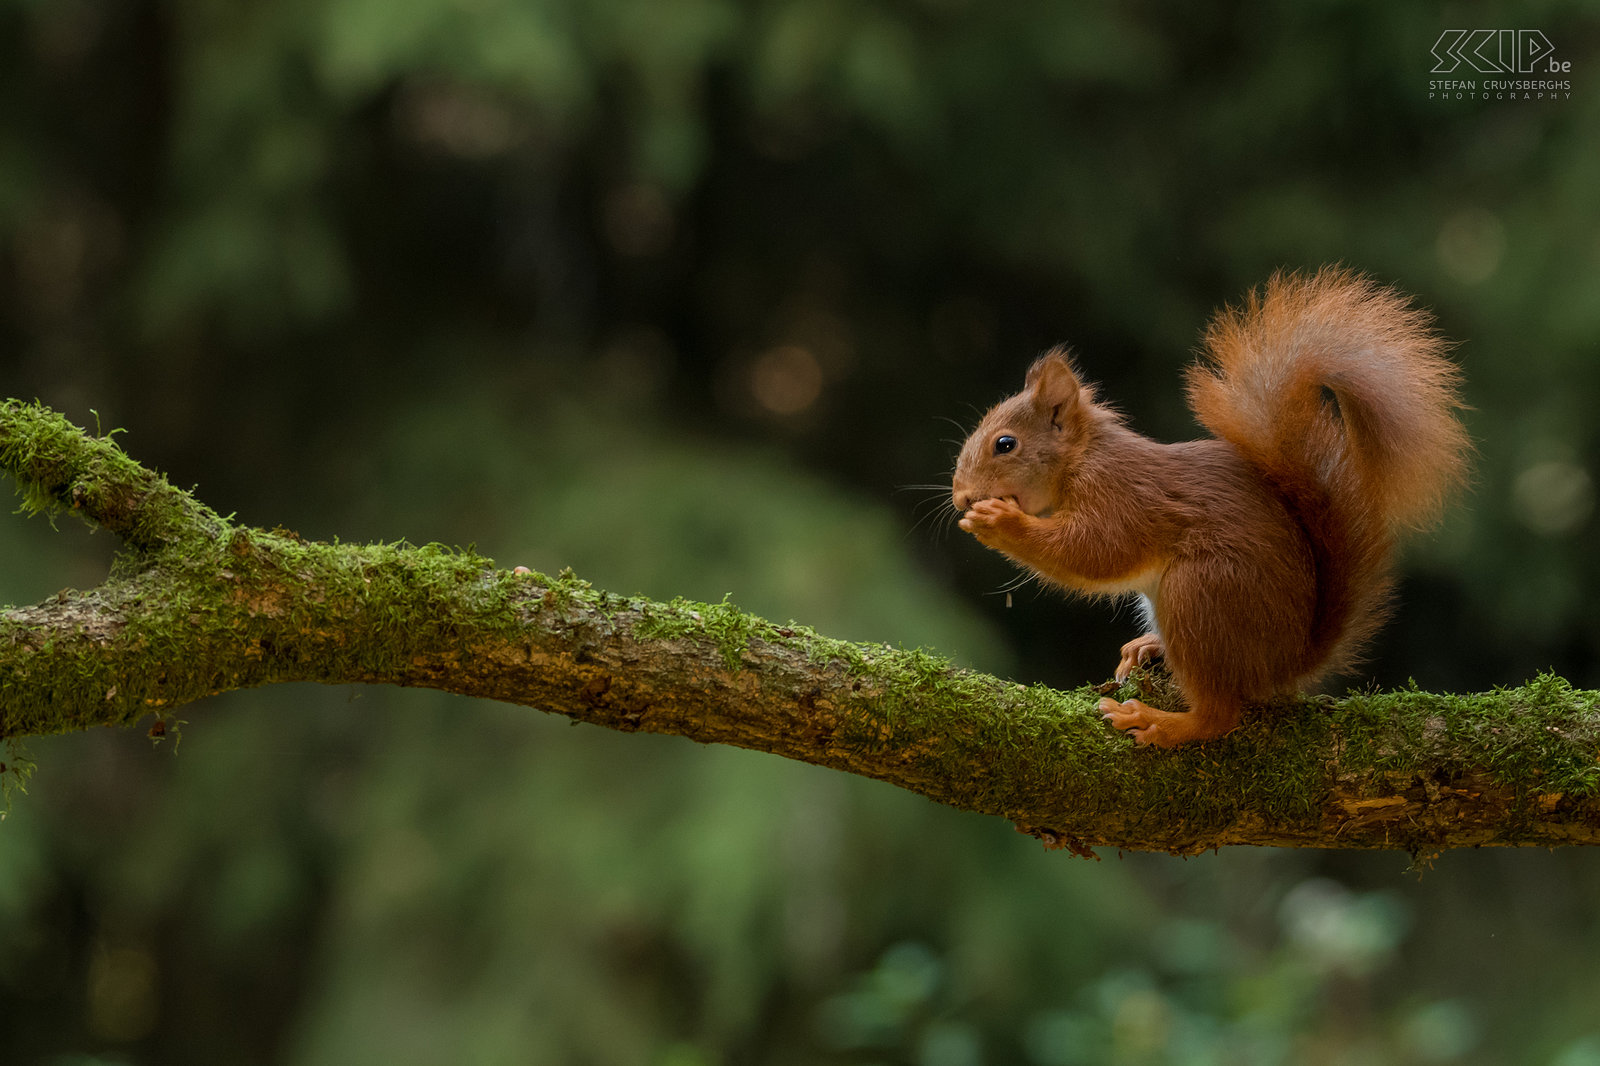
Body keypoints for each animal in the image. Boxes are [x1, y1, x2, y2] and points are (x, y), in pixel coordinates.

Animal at [953, 270, 1465, 742]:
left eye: (1005, 444)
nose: (959, 496)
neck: (1081, 458)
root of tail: (1286, 664)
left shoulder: (1121, 493)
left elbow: (1097, 551)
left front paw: (999, 522)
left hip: (1201, 594)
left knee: (1219, 715)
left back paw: (1163, 723)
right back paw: (1148, 647)